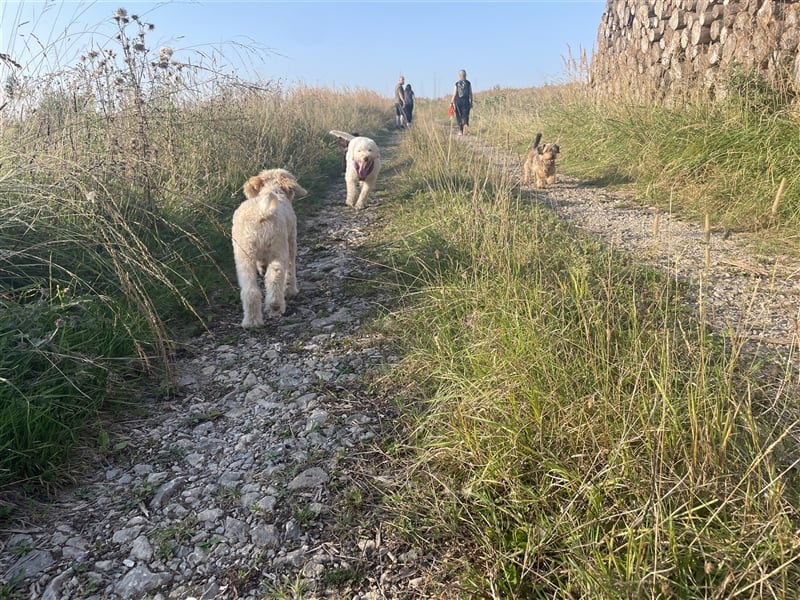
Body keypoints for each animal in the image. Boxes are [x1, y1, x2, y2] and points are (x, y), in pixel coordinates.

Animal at [231, 168, 310, 328]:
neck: (273, 189)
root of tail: (261, 212)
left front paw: (261, 267)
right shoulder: (291, 242)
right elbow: (291, 271)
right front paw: (291, 291)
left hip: (244, 256)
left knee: (250, 290)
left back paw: (251, 322)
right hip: (279, 249)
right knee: (275, 276)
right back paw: (275, 305)